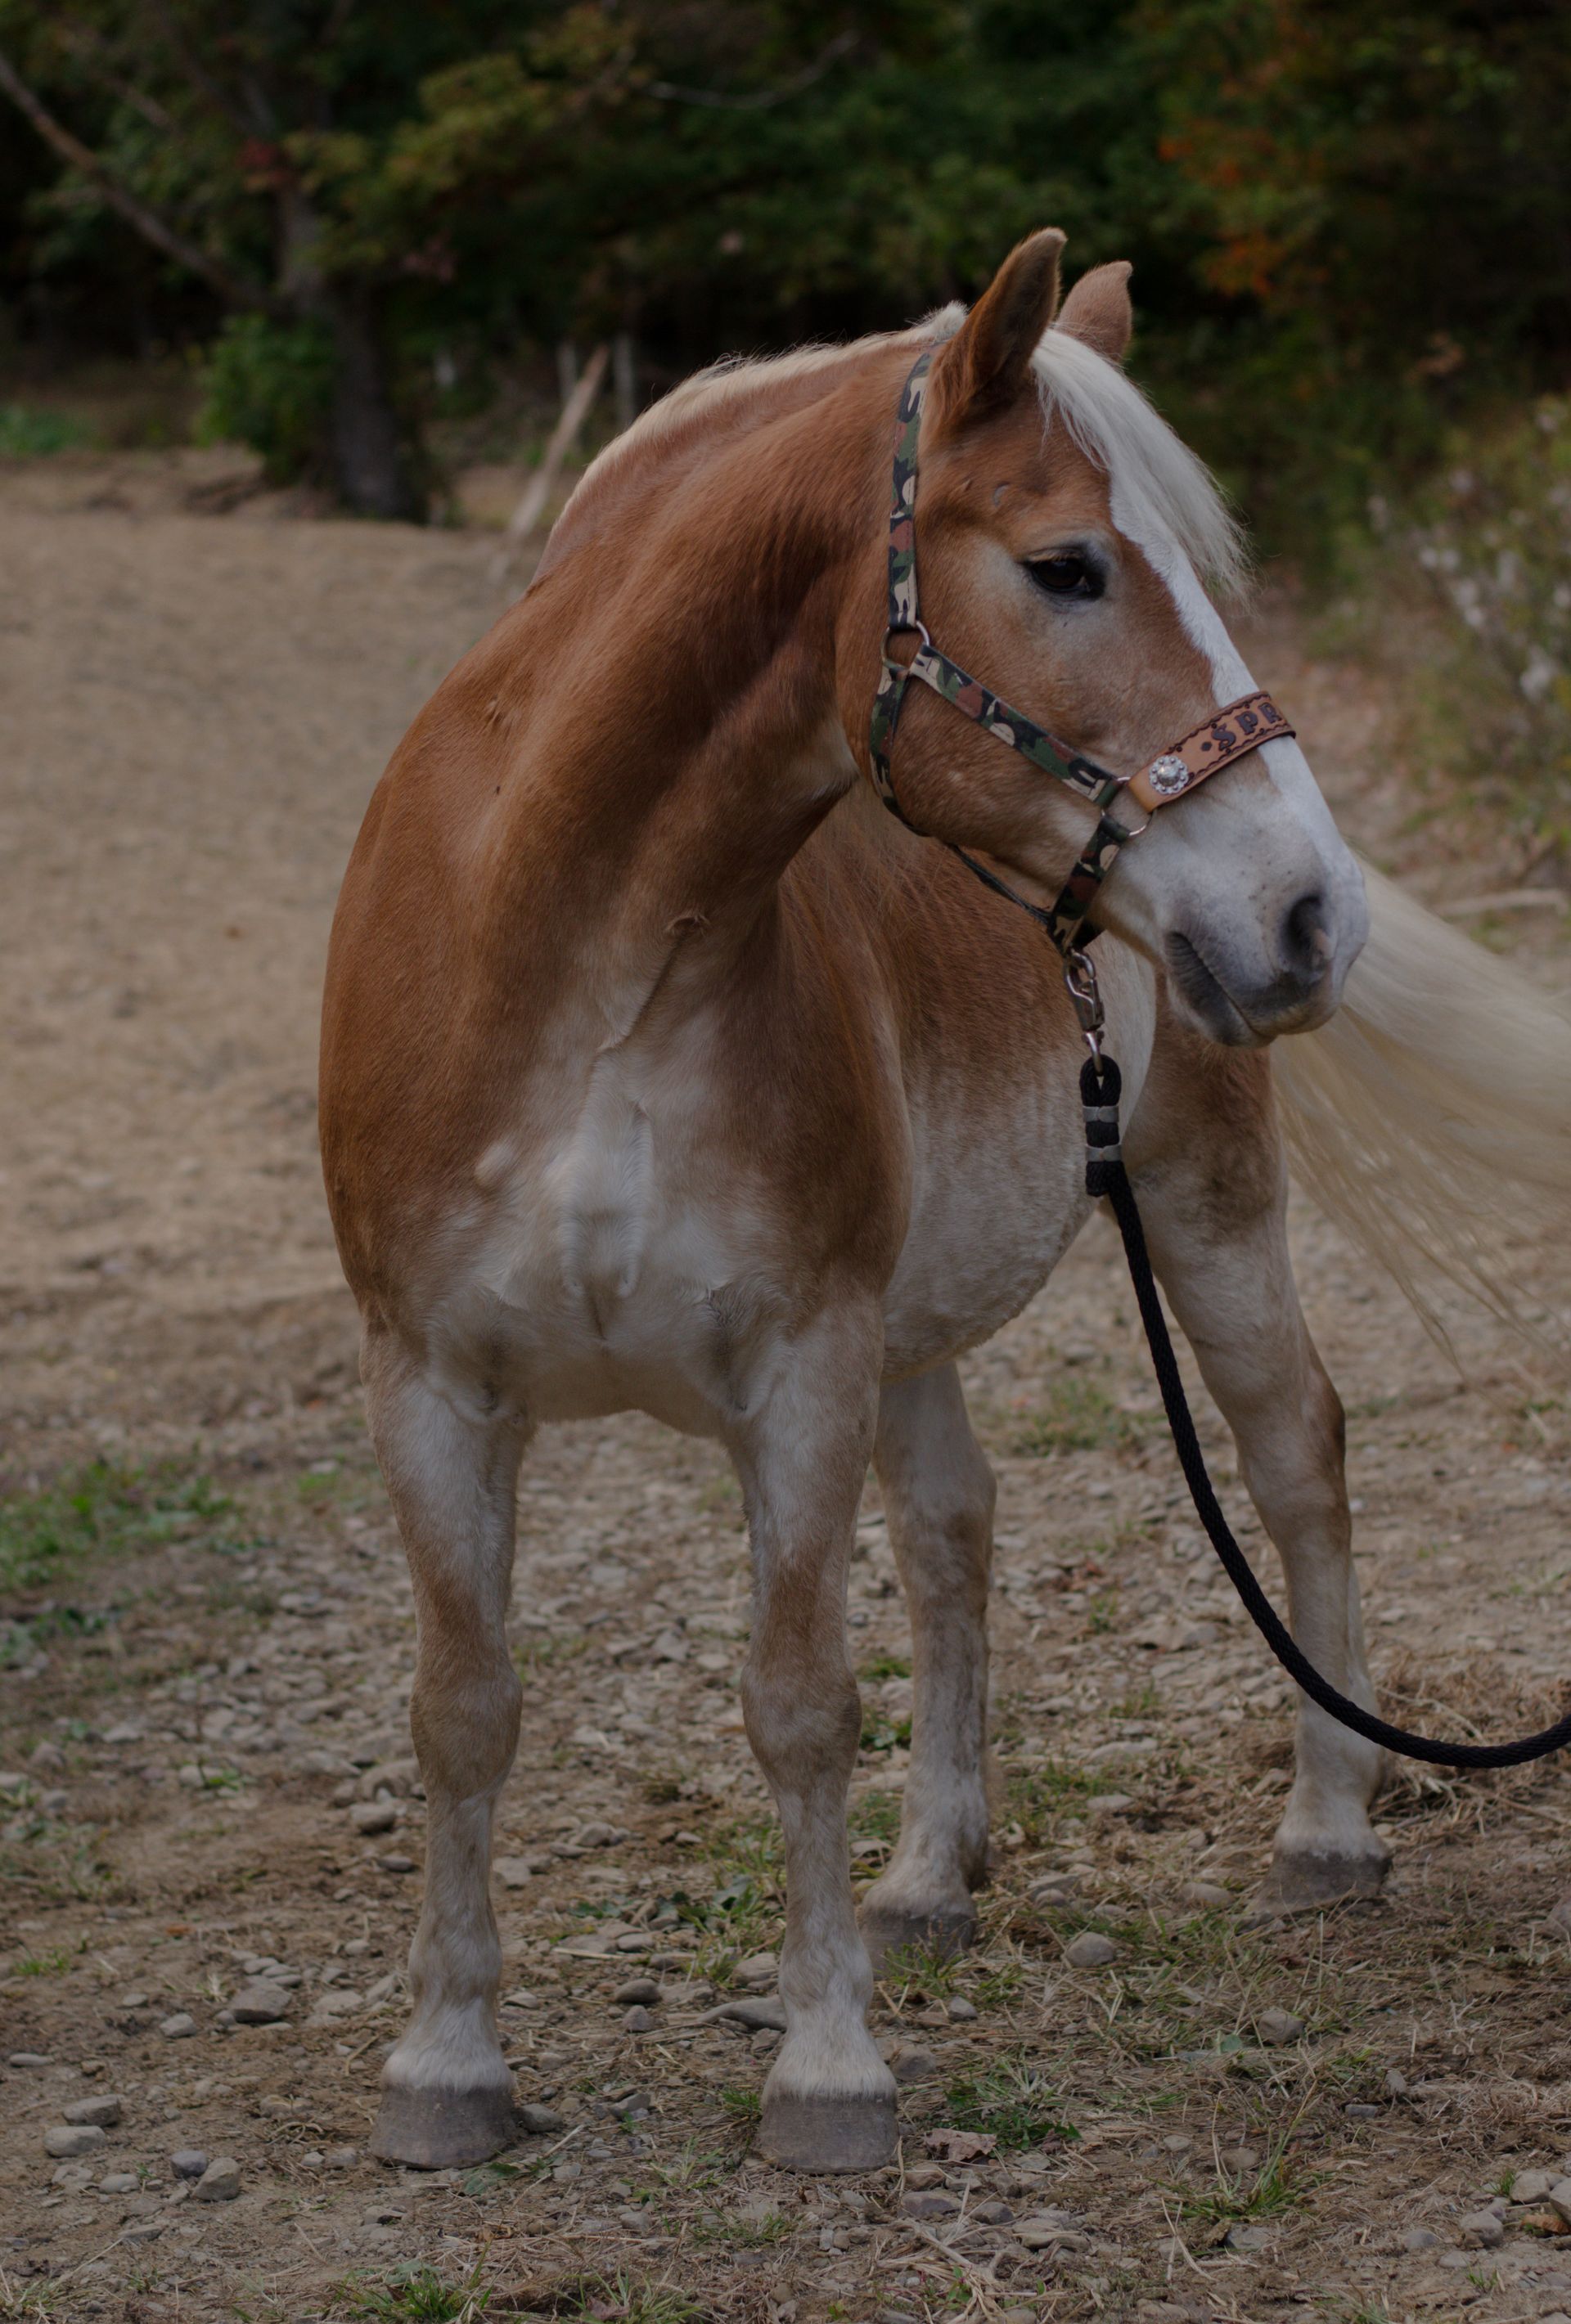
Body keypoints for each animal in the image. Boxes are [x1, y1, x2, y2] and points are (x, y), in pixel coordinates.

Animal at [319, 230, 1570, 2175]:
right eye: (1065, 566)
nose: (1312, 915)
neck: (581, 968)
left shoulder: (802, 1366)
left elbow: (798, 1704)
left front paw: (827, 2069)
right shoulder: (430, 1384)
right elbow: (465, 1708)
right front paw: (446, 2064)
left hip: (1202, 1207)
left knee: (1295, 1449)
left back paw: (1327, 1831)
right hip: (917, 1321)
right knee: (957, 1529)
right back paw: (929, 1876)